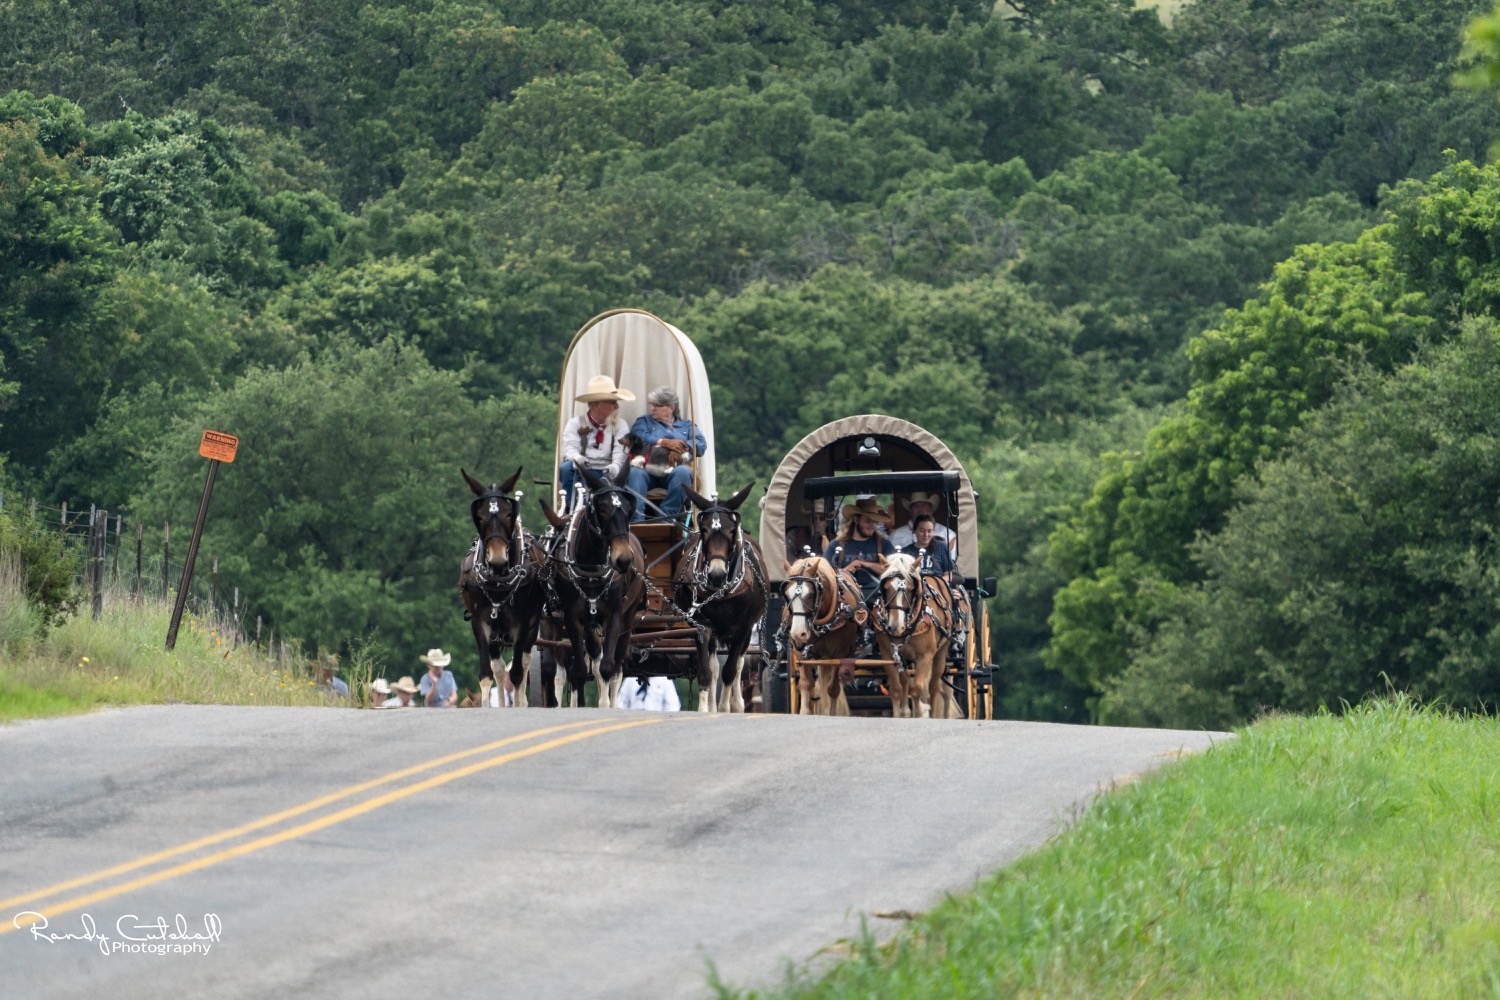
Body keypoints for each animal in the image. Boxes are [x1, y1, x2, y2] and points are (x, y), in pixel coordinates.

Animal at [458, 468, 549, 707]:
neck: (499, 581)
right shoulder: (480, 623)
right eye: (479, 516)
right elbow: (486, 674)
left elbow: (517, 674)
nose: (497, 561)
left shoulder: (522, 624)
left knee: (524, 663)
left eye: (509, 514)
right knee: (499, 669)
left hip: (533, 627)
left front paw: (518, 704)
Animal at [539, 463, 646, 709]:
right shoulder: (570, 619)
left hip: (628, 619)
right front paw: (575, 703)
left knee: (615, 667)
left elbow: (607, 668)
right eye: (601, 509)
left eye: (628, 509)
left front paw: (605, 704)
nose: (623, 559)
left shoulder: (614, 616)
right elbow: (576, 670)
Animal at [675, 483, 767, 713]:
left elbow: (730, 671)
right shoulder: (701, 626)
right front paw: (705, 709)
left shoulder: (743, 628)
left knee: (739, 664)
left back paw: (736, 704)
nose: (716, 574)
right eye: (704, 530)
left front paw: (726, 707)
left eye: (732, 530)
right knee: (715, 665)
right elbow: (707, 672)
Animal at [780, 554, 864, 716]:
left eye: (812, 594)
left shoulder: (839, 654)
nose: (798, 633)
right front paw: (805, 712)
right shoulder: (801, 652)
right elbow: (805, 684)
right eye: (786, 594)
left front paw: (831, 713)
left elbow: (833, 689)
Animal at [871, 553, 963, 719]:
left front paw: (920, 712)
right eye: (886, 588)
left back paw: (934, 713)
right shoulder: (888, 655)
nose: (895, 627)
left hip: (941, 652)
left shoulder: (925, 656)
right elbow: (896, 689)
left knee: (934, 686)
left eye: (910, 589)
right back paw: (906, 711)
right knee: (905, 682)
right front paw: (899, 714)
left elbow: (917, 688)